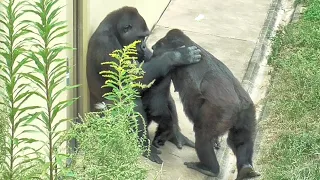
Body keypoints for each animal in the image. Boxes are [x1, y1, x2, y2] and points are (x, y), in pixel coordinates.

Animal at [85, 6, 200, 165]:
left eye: (145, 37)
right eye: (140, 37)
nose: (144, 46)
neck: (114, 31)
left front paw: (175, 132)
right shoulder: (105, 44)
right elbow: (128, 85)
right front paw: (176, 56)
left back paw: (172, 133)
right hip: (105, 119)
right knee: (132, 102)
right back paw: (146, 148)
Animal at [152, 28, 260, 180]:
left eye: (158, 46)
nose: (152, 48)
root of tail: (240, 104)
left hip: (223, 111)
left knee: (202, 135)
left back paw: (210, 169)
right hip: (247, 111)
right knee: (240, 139)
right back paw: (246, 169)